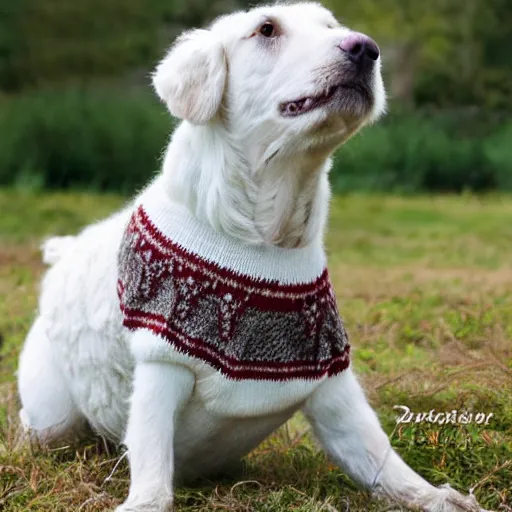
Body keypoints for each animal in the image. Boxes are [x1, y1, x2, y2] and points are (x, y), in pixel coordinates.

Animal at [18, 4, 486, 512]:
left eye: (332, 26)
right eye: (266, 29)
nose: (365, 48)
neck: (263, 238)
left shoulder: (331, 384)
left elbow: (383, 461)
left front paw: (439, 496)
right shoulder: (162, 364)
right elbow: (153, 473)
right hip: (50, 419)